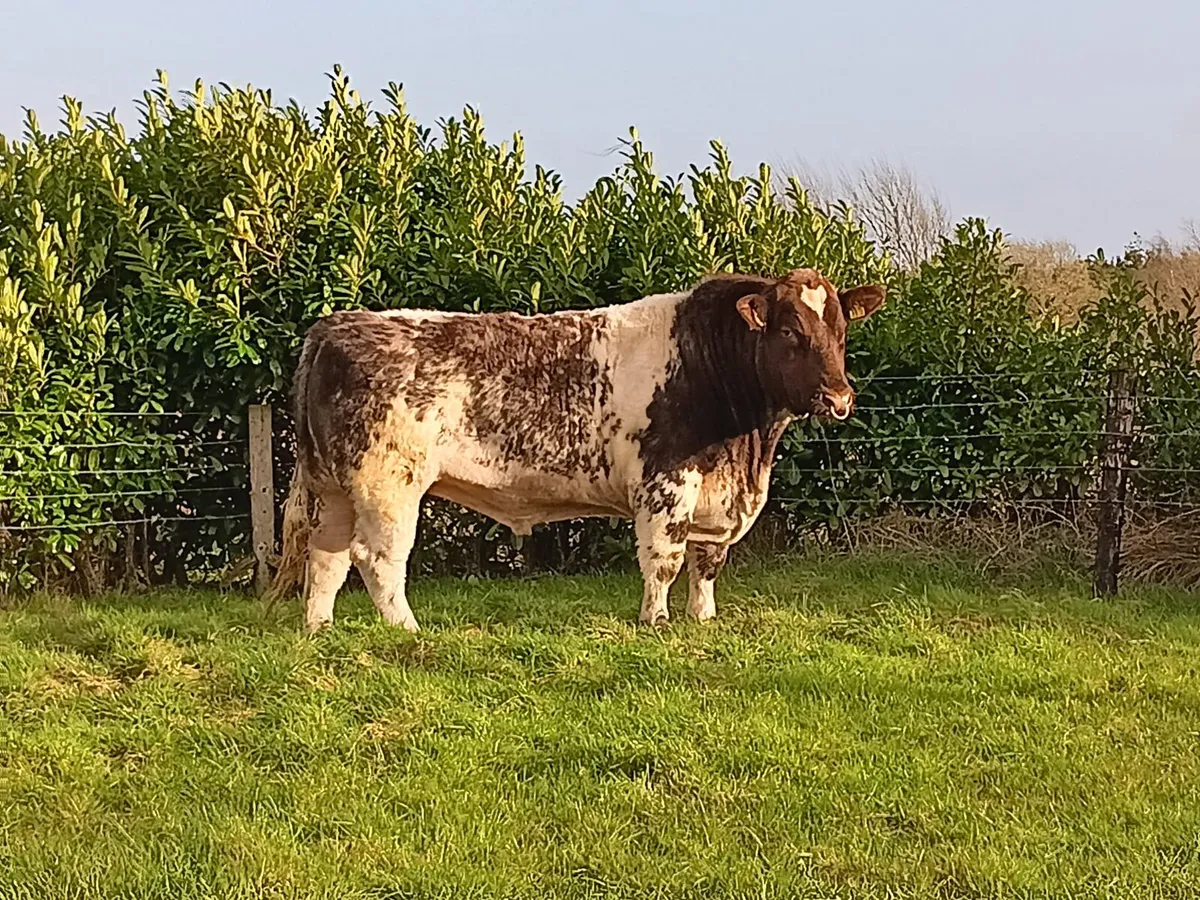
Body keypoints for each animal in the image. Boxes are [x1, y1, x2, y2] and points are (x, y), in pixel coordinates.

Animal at [269, 269, 884, 632]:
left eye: (840, 332)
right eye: (789, 333)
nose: (839, 397)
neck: (746, 447)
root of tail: (333, 326)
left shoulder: (716, 499)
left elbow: (706, 564)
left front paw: (704, 622)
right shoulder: (665, 486)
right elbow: (664, 560)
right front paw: (657, 623)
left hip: (336, 486)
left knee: (325, 556)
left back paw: (319, 629)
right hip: (388, 483)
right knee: (375, 558)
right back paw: (408, 631)